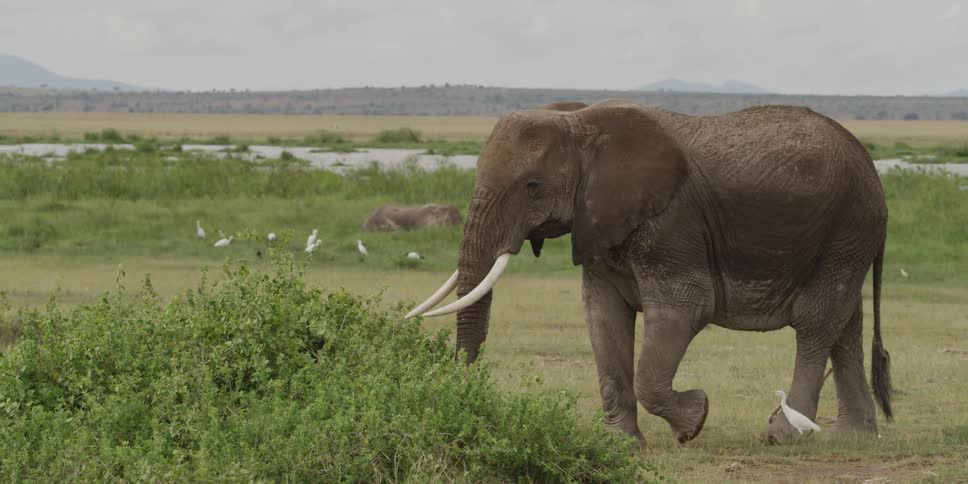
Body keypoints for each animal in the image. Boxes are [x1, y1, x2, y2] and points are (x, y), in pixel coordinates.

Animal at [405, 99, 893, 445]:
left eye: (533, 186)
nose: (464, 393)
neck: (580, 122)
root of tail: (874, 174)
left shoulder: (672, 222)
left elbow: (685, 309)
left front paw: (694, 419)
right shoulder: (599, 223)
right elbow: (602, 316)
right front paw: (622, 445)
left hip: (847, 226)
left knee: (816, 322)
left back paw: (783, 437)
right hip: (845, 239)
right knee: (844, 326)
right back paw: (851, 436)